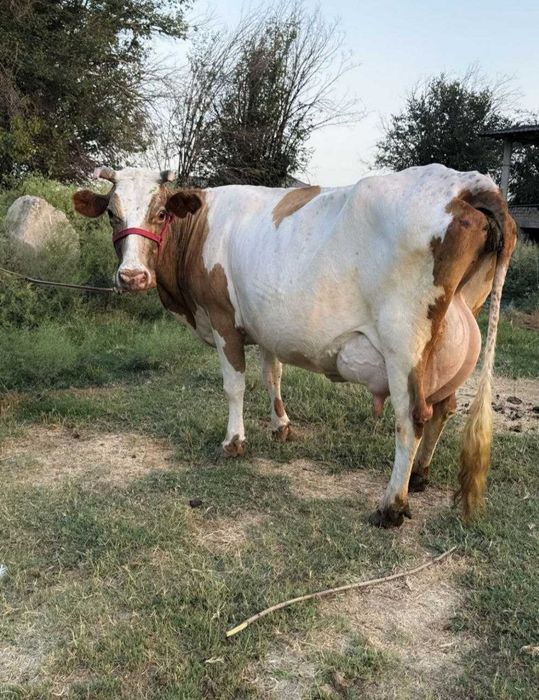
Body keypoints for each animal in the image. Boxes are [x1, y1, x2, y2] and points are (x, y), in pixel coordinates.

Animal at [73, 164, 516, 527]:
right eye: (112, 213)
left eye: (161, 212)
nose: (132, 277)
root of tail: (467, 183)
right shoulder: (267, 324)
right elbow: (273, 374)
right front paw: (281, 426)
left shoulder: (222, 319)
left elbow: (234, 386)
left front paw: (234, 442)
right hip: (453, 328)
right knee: (444, 407)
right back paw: (420, 476)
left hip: (403, 340)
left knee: (413, 418)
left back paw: (392, 505)